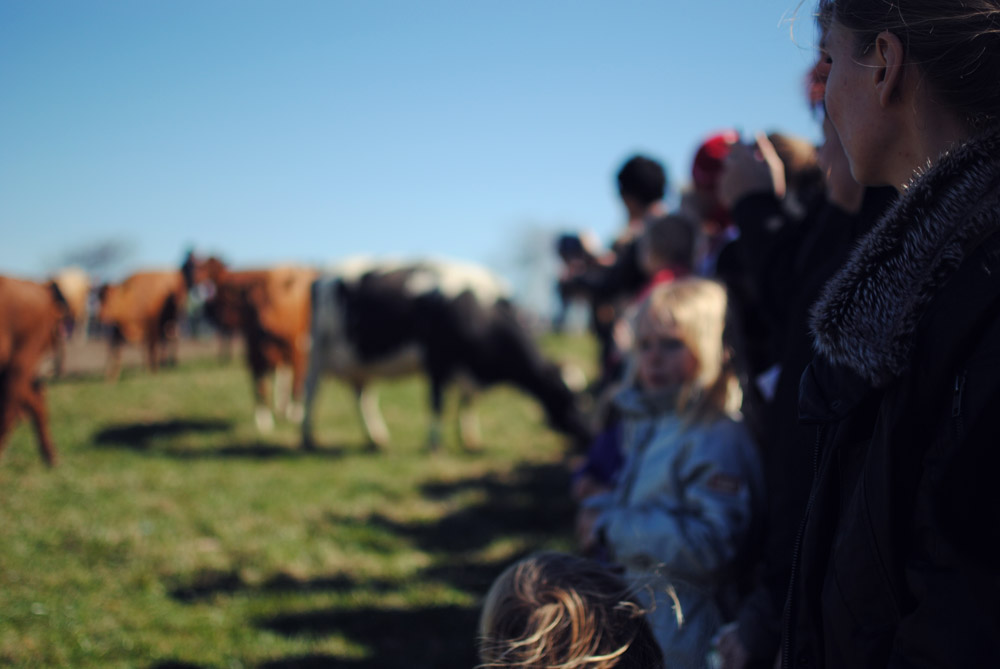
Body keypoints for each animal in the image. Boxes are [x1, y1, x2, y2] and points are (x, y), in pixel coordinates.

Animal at [200, 258, 316, 430]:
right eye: (251, 305)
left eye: (271, 300)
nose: (263, 321)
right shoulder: (254, 357)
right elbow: (260, 388)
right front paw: (263, 422)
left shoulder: (298, 353)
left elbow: (297, 384)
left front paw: (296, 414)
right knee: (282, 379)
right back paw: (281, 409)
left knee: (291, 380)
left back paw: (288, 410)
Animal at [300, 258, 588, 452]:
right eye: (565, 396)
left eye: (582, 395)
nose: (586, 430)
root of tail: (324, 274)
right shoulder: (437, 362)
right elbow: (437, 403)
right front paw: (435, 444)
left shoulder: (467, 369)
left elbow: (468, 402)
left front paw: (470, 440)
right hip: (318, 351)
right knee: (312, 390)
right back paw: (307, 438)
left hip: (360, 363)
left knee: (363, 398)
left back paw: (377, 438)